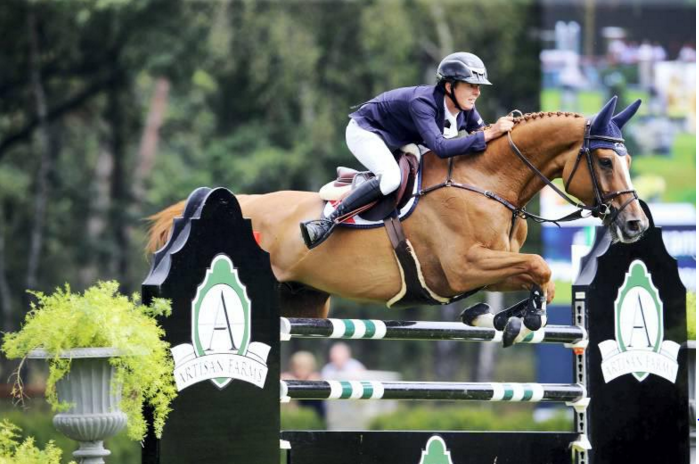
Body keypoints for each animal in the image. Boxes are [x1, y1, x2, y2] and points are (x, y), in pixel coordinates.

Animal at [147, 96, 648, 345]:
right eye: (606, 161)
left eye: (626, 160)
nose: (635, 226)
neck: (488, 181)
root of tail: (232, 203)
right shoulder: (462, 268)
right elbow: (540, 268)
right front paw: (519, 318)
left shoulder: (490, 264)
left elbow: (535, 277)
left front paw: (501, 317)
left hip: (303, 302)